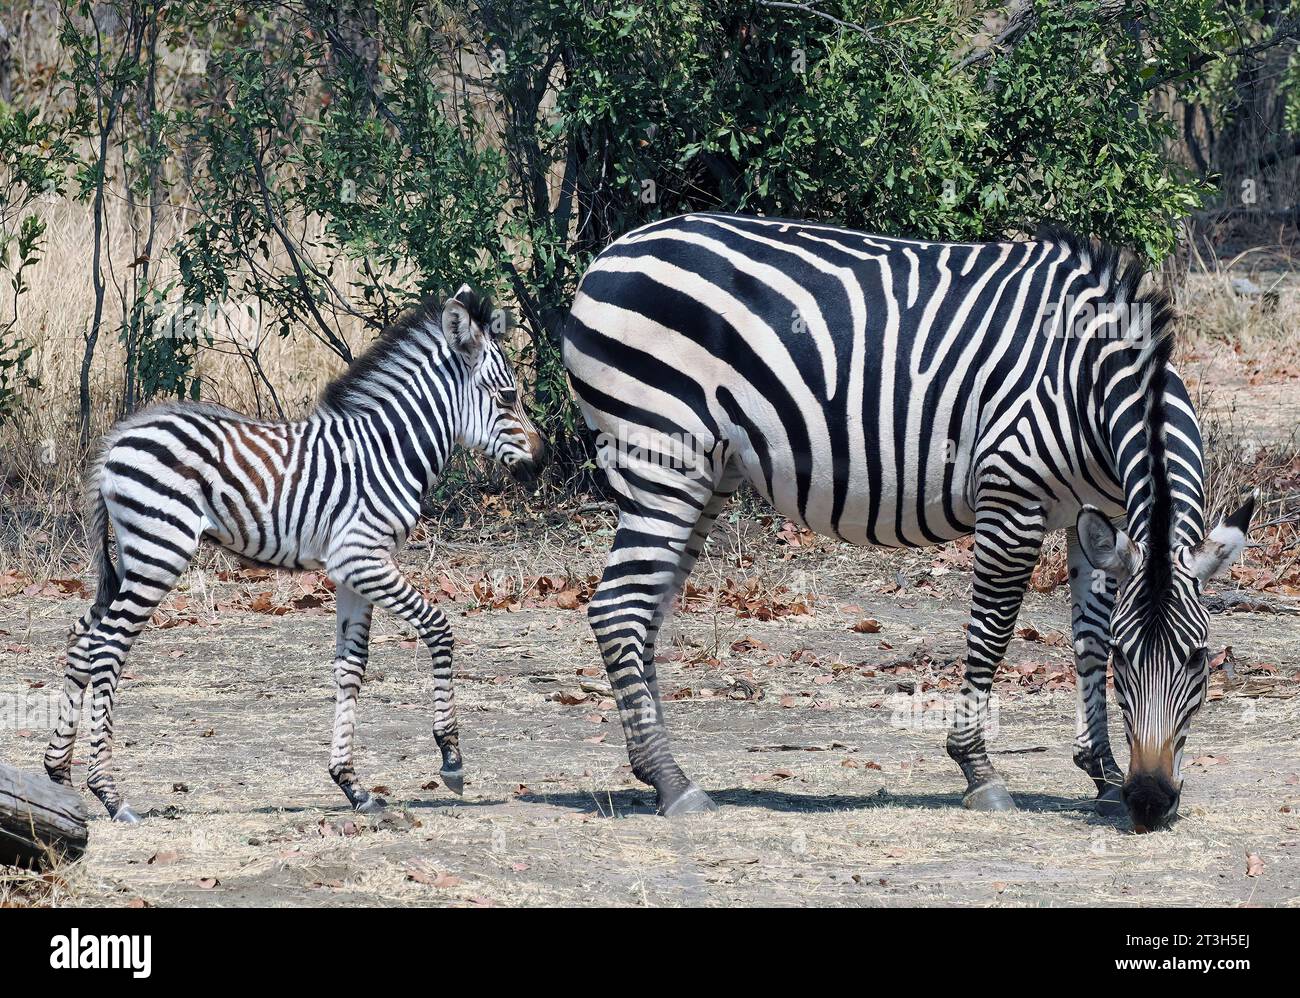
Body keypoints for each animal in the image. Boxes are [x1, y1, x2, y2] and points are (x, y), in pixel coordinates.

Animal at [44, 285, 543, 821]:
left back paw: (59, 774)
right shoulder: (362, 557)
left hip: (133, 555)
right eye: (508, 396)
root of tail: (116, 439)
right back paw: (110, 794)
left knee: (82, 636)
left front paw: (352, 786)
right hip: (160, 550)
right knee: (107, 644)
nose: (543, 460)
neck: (389, 452)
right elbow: (438, 627)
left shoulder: (352, 571)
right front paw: (450, 756)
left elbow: (350, 667)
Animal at [564, 214, 1253, 831]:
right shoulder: (1011, 496)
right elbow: (992, 634)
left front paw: (1103, 774)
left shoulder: (1100, 517)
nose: (1149, 802)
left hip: (707, 474)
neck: (1086, 381)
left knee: (645, 613)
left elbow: (1086, 637)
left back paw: (656, 772)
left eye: (1198, 660)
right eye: (1129, 663)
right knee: (618, 609)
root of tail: (611, 252)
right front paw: (980, 771)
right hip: (662, 459)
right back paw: (673, 784)